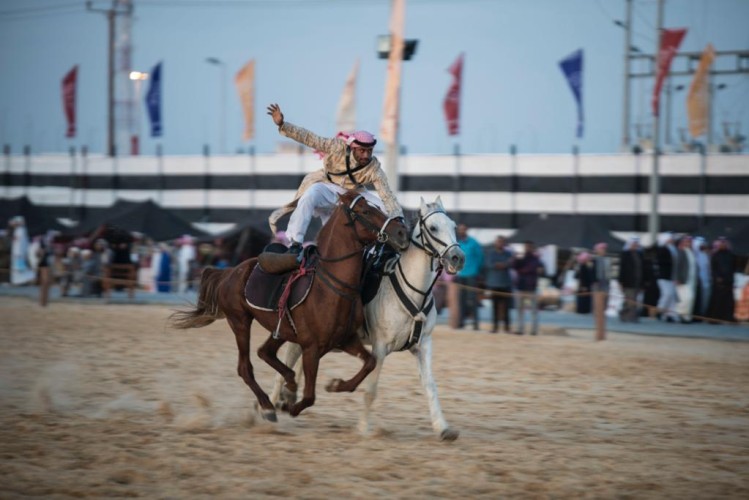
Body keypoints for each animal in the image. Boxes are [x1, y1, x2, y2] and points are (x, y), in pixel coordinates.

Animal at [169, 191, 406, 422]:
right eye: (366, 211)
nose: (401, 231)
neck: (334, 288)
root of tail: (228, 272)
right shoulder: (312, 347)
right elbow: (309, 396)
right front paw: (290, 405)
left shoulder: (344, 339)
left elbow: (370, 362)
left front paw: (335, 385)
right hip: (240, 321)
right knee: (245, 367)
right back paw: (267, 406)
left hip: (281, 328)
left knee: (265, 352)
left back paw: (287, 386)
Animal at [272, 197, 464, 440]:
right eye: (433, 227)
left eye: (454, 227)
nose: (458, 258)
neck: (413, 291)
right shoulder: (380, 347)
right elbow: (371, 389)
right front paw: (363, 428)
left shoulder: (424, 345)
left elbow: (430, 385)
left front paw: (443, 427)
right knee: (287, 363)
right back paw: (268, 408)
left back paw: (287, 398)